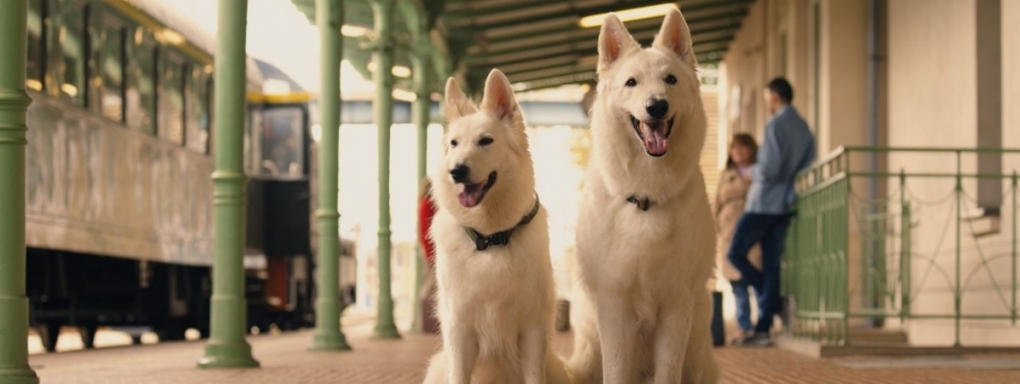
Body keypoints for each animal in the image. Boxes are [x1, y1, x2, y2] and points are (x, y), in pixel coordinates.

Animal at [418, 68, 571, 384]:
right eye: (454, 144)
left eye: (485, 141)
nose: (456, 171)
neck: (490, 237)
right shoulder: (459, 330)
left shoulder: (532, 329)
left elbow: (534, 376)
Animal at [571, 9, 722, 384]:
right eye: (631, 83)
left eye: (670, 79)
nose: (657, 106)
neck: (646, 196)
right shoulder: (613, 303)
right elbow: (615, 370)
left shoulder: (676, 303)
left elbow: (668, 370)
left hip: (698, 336)